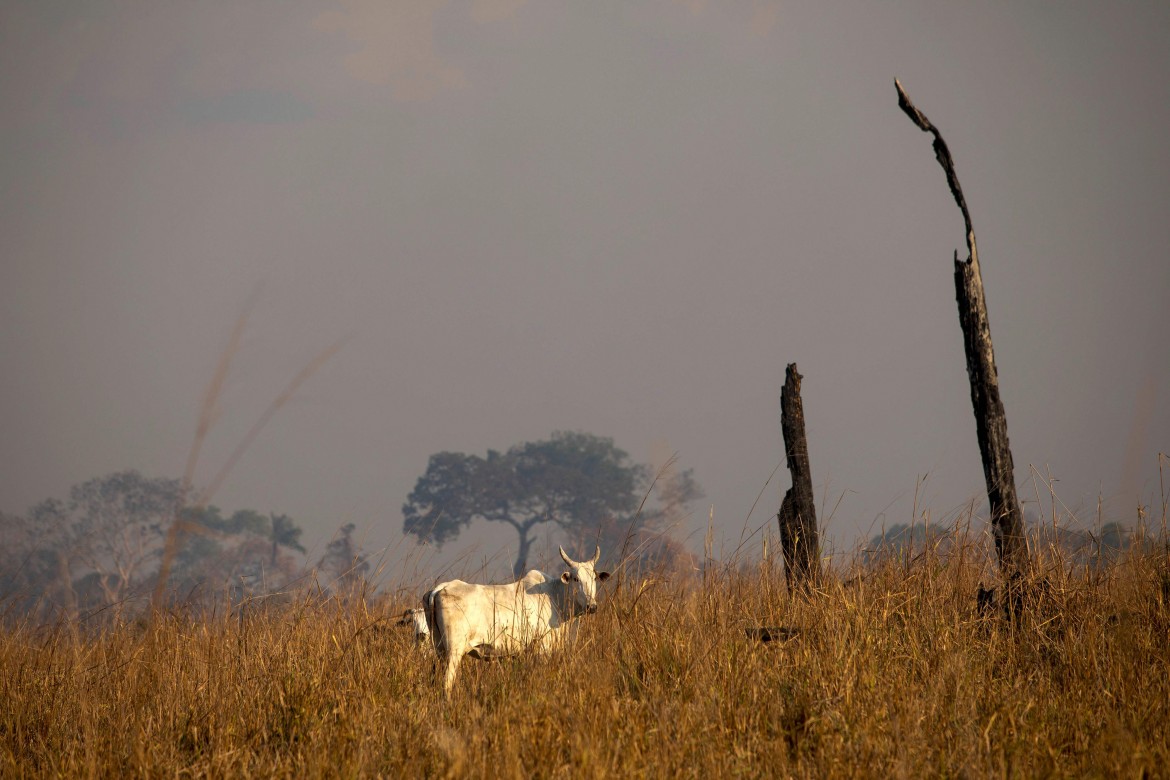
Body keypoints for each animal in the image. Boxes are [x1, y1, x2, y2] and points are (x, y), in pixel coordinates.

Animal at [428, 547, 613, 696]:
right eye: (576, 578)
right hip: (453, 652)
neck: (555, 597)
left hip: (440, 650)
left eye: (594, 578)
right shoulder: (542, 649)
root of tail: (440, 588)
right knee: (446, 684)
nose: (592, 606)